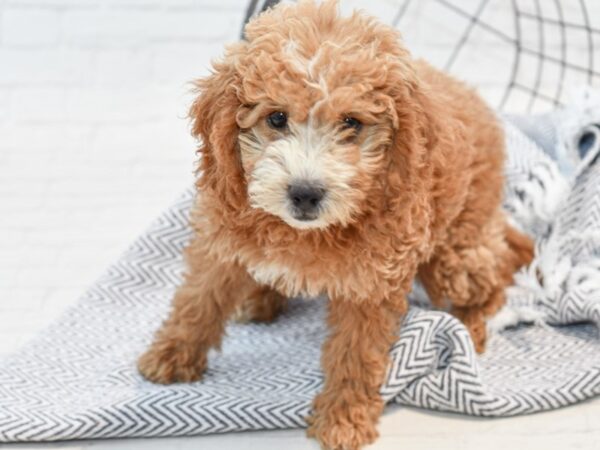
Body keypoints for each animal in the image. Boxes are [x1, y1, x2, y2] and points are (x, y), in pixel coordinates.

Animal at [137, 1, 536, 448]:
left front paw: (344, 419)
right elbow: (199, 299)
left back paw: (470, 325)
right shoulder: (222, 238)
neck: (302, 232)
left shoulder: (372, 281)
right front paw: (171, 355)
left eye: (351, 123)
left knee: (496, 269)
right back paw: (260, 297)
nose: (305, 193)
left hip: (458, 249)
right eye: (276, 118)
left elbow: (355, 354)